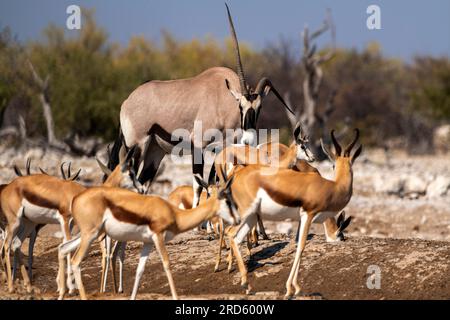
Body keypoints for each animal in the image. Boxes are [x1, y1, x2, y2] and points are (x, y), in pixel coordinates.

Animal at [58, 172, 241, 300]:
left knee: (63, 248)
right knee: (75, 260)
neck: (174, 213)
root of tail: (76, 199)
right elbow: (167, 264)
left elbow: (140, 270)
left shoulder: (147, 243)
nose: (238, 219)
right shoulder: (158, 237)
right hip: (91, 235)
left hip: (89, 234)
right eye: (227, 201)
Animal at [107, 3, 294, 210]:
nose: (248, 139)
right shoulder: (198, 146)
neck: (223, 101)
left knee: (142, 182)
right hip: (136, 145)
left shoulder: (222, 150)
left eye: (260, 107)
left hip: (155, 151)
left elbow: (215, 182)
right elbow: (198, 184)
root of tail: (127, 102)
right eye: (240, 105)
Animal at [223, 129, 360, 296]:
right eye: (340, 235)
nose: (341, 240)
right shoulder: (308, 215)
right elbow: (301, 246)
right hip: (244, 213)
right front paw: (292, 288)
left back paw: (245, 281)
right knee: (230, 231)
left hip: (249, 216)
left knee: (235, 235)